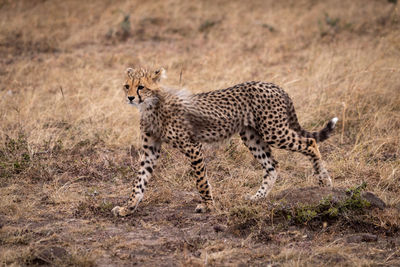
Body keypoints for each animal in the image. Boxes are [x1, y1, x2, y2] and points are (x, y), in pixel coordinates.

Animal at [111, 67, 338, 218]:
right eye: (127, 86)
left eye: (141, 87)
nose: (130, 97)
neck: (151, 105)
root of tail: (272, 84)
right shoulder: (150, 150)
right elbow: (139, 181)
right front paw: (128, 207)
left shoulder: (193, 147)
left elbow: (201, 180)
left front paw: (208, 205)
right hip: (251, 136)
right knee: (272, 164)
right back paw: (258, 197)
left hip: (274, 131)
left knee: (310, 142)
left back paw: (324, 181)